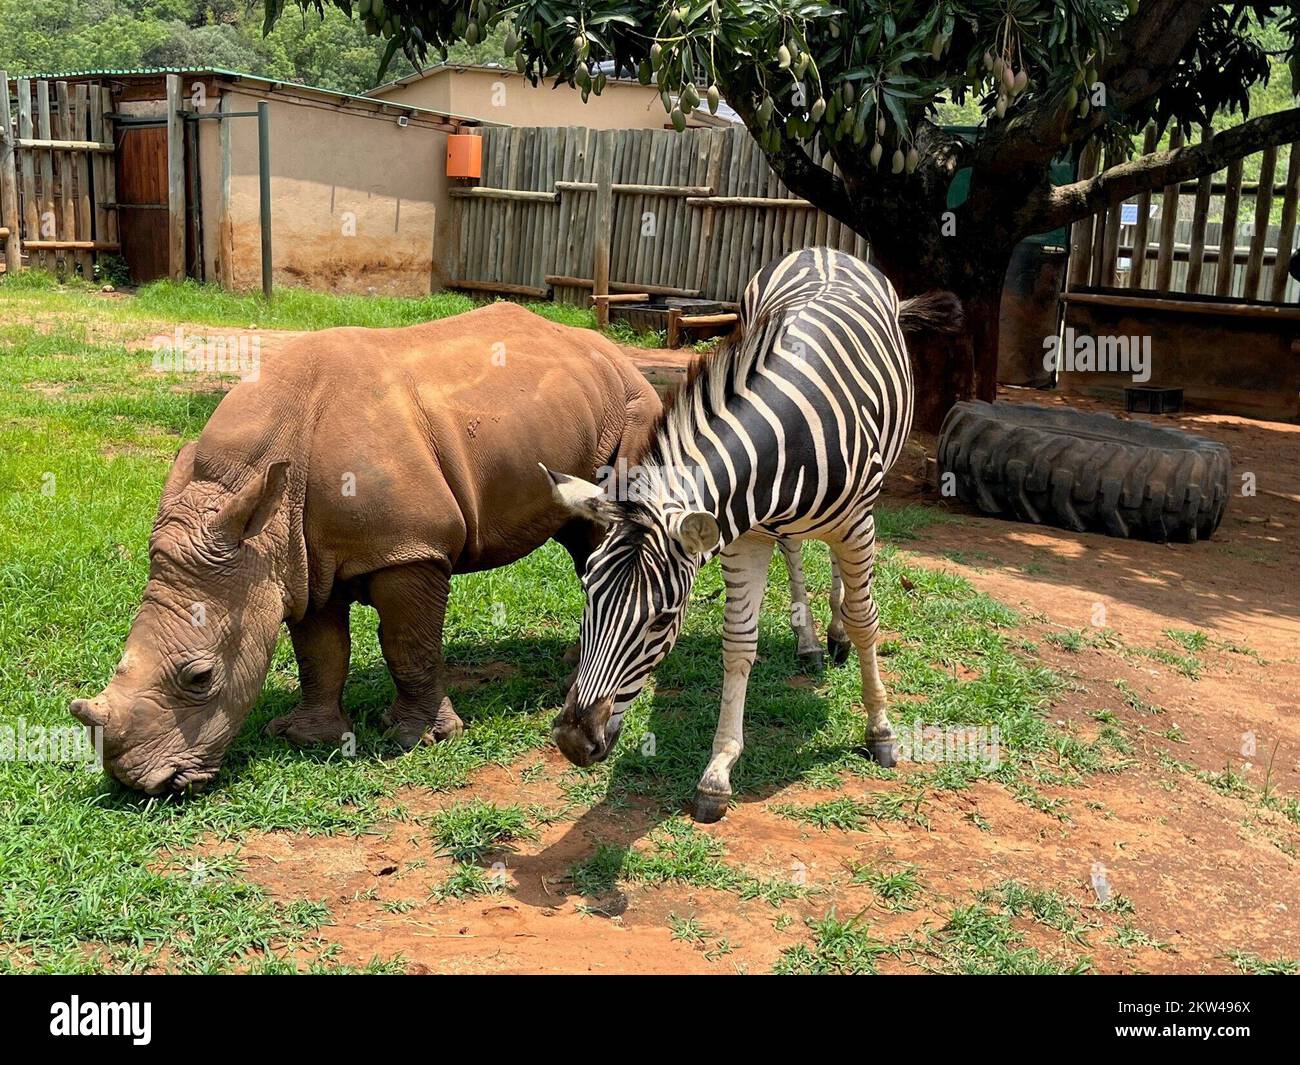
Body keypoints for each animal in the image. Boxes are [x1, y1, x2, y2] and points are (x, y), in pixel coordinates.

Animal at [69, 304, 660, 795]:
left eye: (201, 678)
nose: (139, 782)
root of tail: (613, 352)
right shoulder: (297, 560)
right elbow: (320, 653)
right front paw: (309, 738)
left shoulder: (411, 549)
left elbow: (407, 644)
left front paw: (418, 739)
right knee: (582, 535)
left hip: (636, 412)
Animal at [543, 249, 961, 827]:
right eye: (587, 596)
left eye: (663, 620)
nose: (573, 741)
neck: (789, 434)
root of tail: (825, 250)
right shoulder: (744, 537)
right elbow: (739, 644)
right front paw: (718, 772)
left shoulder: (857, 524)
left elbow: (867, 621)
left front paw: (880, 730)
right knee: (797, 551)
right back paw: (811, 642)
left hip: (861, 512)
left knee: (844, 579)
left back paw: (835, 634)